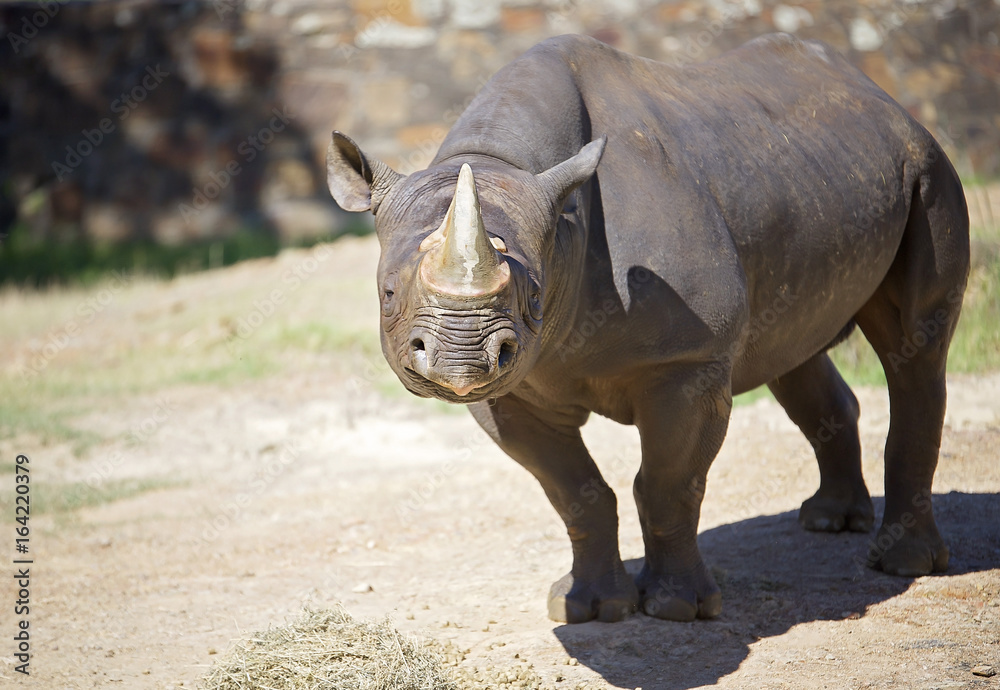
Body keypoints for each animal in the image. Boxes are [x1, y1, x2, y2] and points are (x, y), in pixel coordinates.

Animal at [326, 33, 969, 624]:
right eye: (389, 295)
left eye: (533, 298)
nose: (460, 363)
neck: (500, 164)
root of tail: (883, 98)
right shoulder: (511, 389)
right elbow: (572, 493)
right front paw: (588, 608)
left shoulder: (687, 359)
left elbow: (667, 483)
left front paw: (677, 609)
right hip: (818, 176)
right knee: (793, 348)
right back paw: (829, 521)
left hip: (928, 168)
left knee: (915, 348)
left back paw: (904, 564)